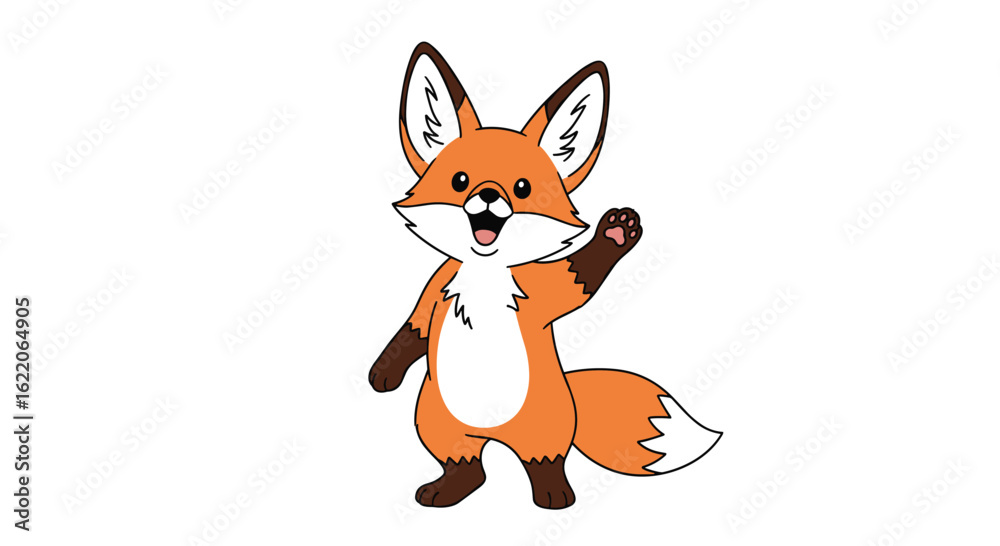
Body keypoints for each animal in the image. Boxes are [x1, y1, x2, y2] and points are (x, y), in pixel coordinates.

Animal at [369, 42, 721, 509]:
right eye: (460, 180)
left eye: (522, 188)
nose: (488, 196)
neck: (485, 275)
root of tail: (493, 434)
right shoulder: (436, 287)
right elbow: (413, 329)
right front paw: (383, 375)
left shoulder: (548, 287)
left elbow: (582, 278)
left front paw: (616, 232)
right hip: (437, 421)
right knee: (469, 469)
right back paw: (447, 489)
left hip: (544, 425)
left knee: (545, 462)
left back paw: (554, 495)